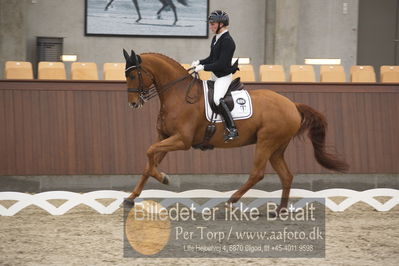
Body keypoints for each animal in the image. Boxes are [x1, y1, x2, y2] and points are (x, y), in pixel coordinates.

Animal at [123, 49, 348, 208]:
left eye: (133, 76)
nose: (133, 103)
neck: (178, 94)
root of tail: (292, 105)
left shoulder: (182, 140)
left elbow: (149, 152)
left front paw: (164, 178)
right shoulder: (165, 136)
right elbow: (149, 163)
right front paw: (131, 197)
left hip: (266, 142)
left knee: (257, 173)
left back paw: (231, 200)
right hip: (277, 148)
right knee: (286, 175)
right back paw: (280, 210)